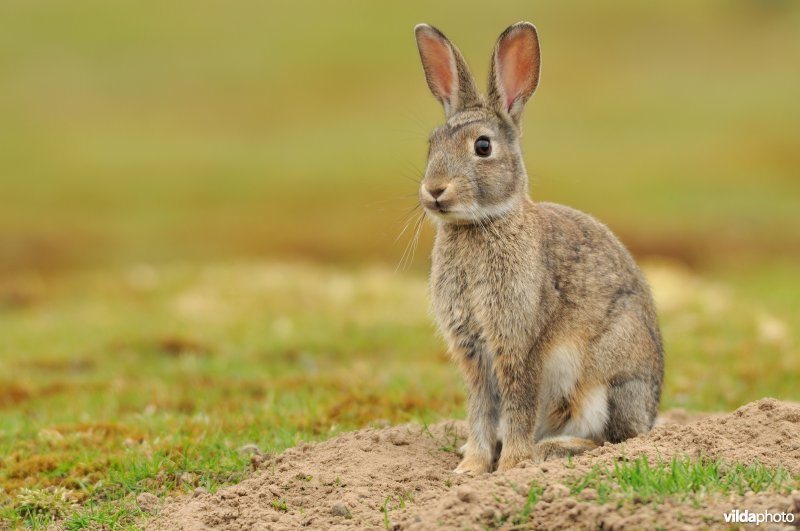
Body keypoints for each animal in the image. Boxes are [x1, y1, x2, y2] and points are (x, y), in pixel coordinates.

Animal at [412, 22, 664, 476]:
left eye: (482, 147)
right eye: (432, 144)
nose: (435, 191)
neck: (481, 224)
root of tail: (650, 413)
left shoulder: (520, 342)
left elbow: (518, 406)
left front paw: (512, 465)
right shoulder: (474, 354)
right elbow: (481, 410)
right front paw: (471, 467)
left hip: (603, 382)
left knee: (612, 438)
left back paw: (551, 450)